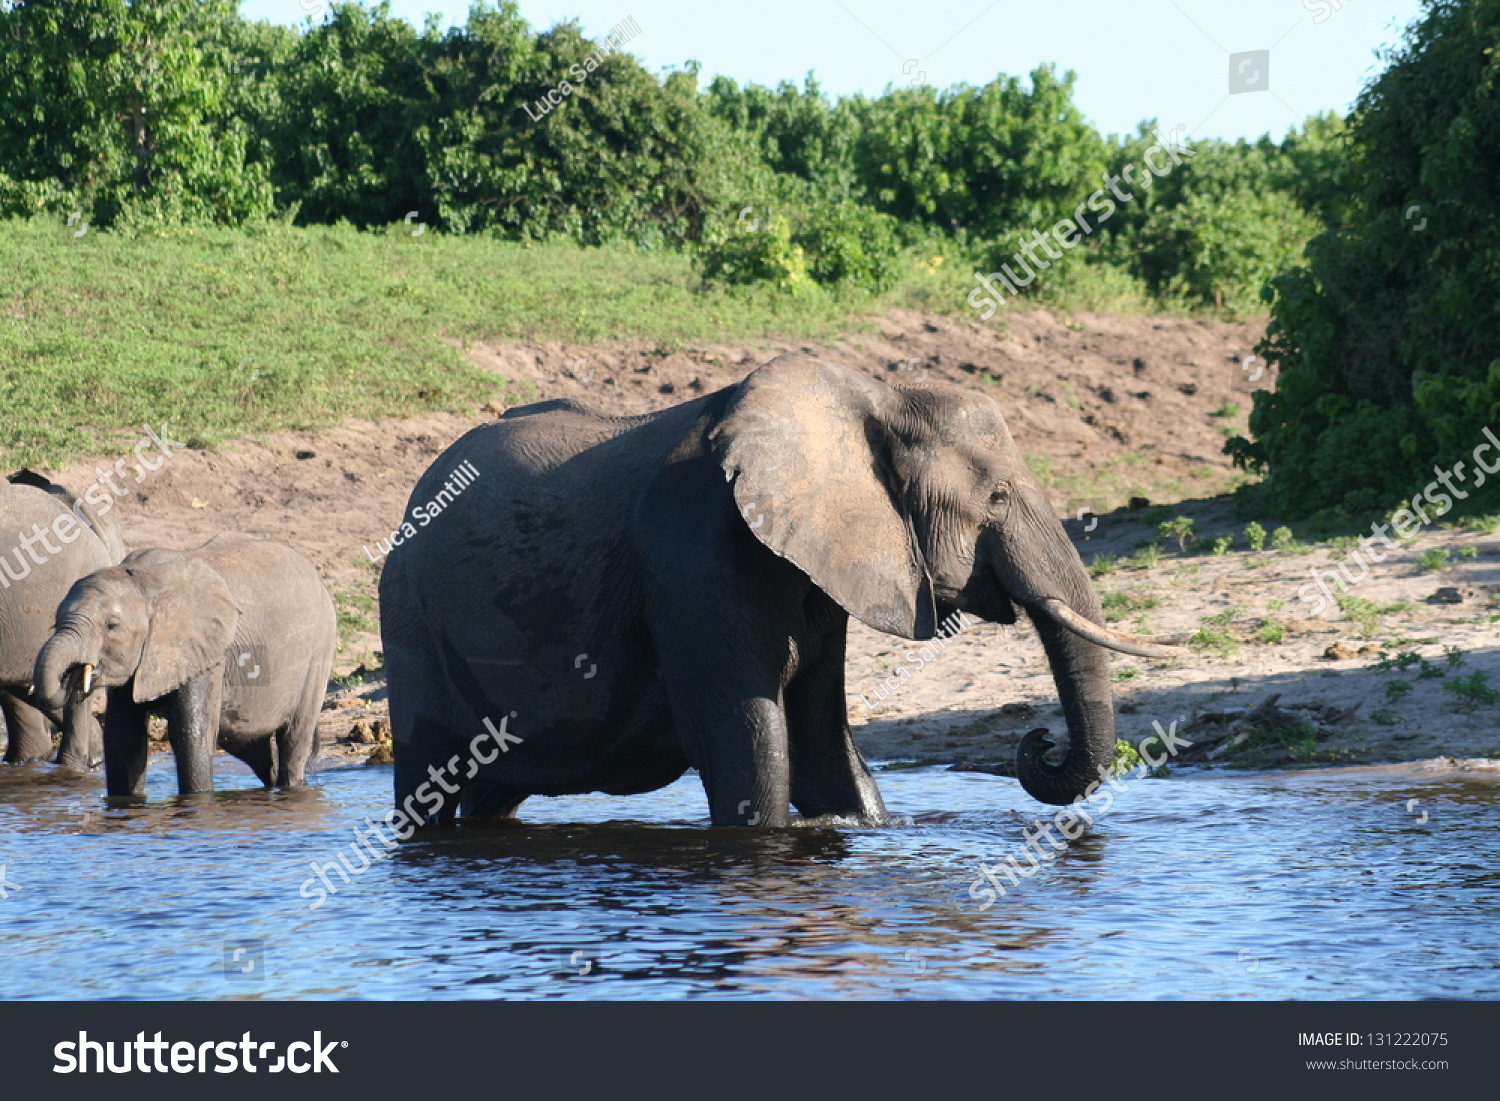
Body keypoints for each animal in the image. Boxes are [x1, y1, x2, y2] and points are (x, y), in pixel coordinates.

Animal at [33, 534, 340, 792]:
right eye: (55, 621)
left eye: (112, 626)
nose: (74, 676)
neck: (144, 581)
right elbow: (124, 740)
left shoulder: (205, 652)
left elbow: (192, 735)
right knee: (249, 744)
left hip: (320, 648)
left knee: (294, 739)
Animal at [381, 358, 1176, 834]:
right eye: (999, 499)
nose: (1039, 741)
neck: (871, 398)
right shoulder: (693, 558)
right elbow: (749, 743)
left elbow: (824, 742)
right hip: (408, 613)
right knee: (425, 784)